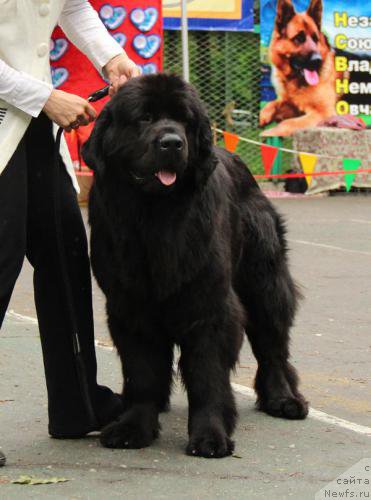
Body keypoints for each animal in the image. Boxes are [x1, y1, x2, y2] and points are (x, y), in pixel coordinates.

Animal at [83, 72, 310, 458]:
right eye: (144, 117)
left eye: (185, 121)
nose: (172, 143)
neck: (154, 217)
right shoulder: (130, 306)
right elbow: (142, 372)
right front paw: (133, 427)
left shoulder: (209, 305)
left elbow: (207, 375)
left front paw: (209, 436)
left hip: (264, 282)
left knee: (272, 346)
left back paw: (283, 399)